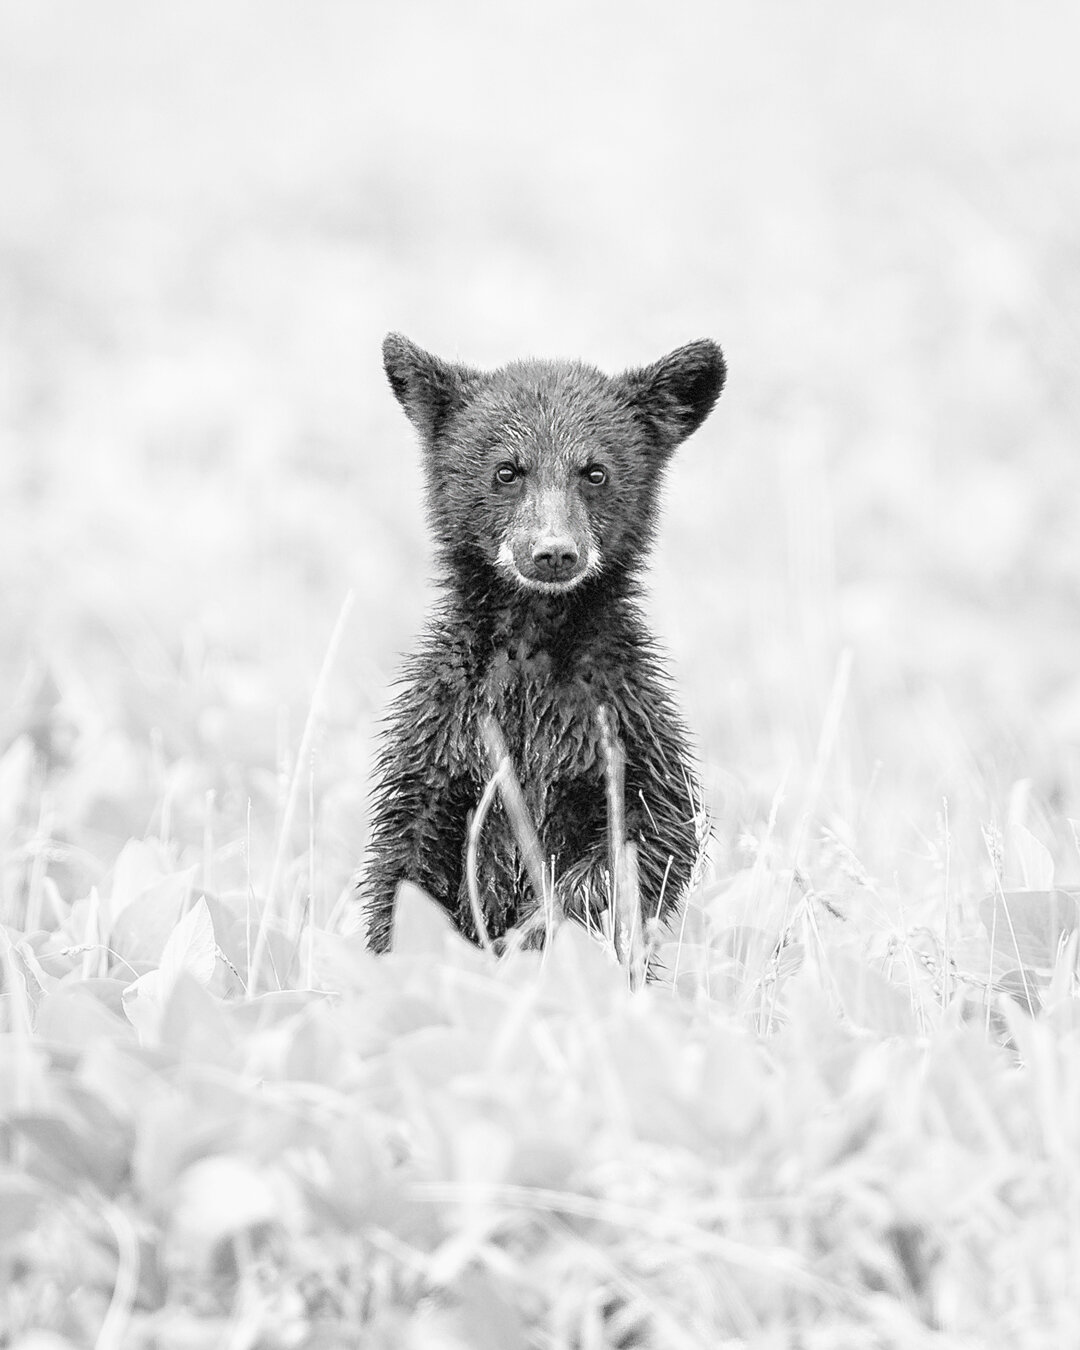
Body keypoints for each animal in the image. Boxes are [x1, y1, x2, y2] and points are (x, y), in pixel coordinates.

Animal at [362, 332, 726, 953]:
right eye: (508, 471)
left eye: (595, 472)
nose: (553, 552)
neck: (532, 646)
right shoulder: (441, 737)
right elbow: (405, 871)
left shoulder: (624, 720)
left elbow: (655, 835)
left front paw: (540, 932)